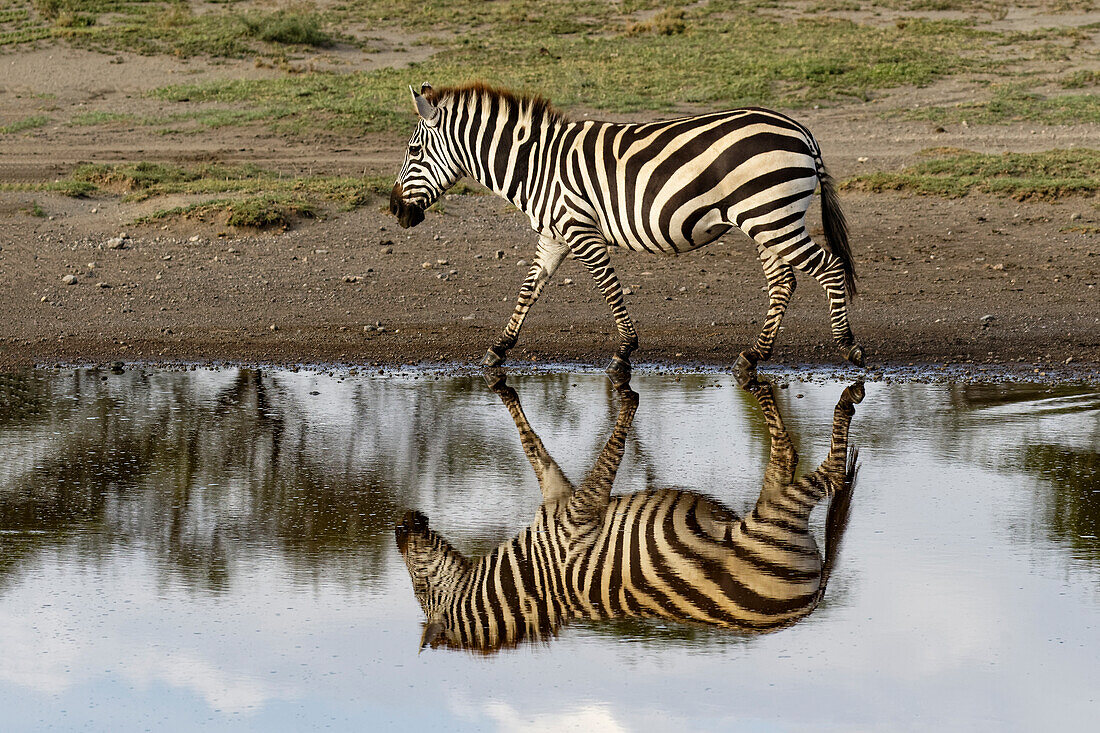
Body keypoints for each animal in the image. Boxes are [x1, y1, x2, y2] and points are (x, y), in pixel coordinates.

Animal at [391, 81, 862, 383]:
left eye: (414, 150)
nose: (394, 209)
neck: (534, 165)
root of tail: (801, 131)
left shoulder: (580, 229)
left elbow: (609, 288)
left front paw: (624, 351)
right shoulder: (553, 235)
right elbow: (528, 290)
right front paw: (498, 349)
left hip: (771, 216)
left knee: (830, 267)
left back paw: (847, 345)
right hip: (766, 221)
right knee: (783, 282)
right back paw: (752, 356)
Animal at [391, 376, 862, 651]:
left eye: (418, 584)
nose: (399, 525)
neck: (532, 577)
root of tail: (811, 602)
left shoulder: (568, 506)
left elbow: (545, 446)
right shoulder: (572, 510)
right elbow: (573, 450)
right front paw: (626, 395)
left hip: (772, 514)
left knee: (807, 462)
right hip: (774, 514)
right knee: (818, 467)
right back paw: (839, 399)